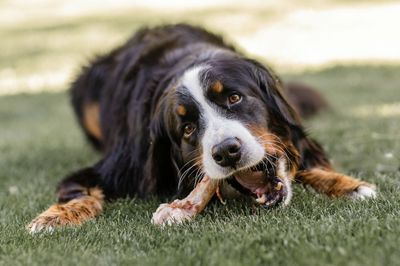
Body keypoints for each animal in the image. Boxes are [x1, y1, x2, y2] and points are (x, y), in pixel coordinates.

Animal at [27, 24, 376, 233]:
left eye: (234, 98)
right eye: (187, 128)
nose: (226, 152)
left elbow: (307, 160)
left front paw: (348, 185)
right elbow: (79, 191)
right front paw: (54, 216)